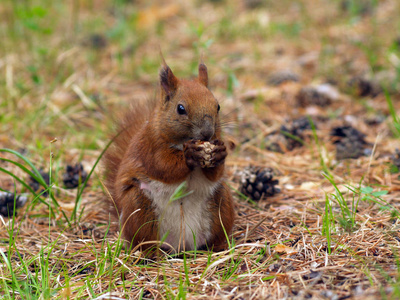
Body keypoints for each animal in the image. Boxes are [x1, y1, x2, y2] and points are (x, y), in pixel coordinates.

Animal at [103, 59, 234, 252]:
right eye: (180, 108)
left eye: (217, 106)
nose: (207, 133)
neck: (182, 142)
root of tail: (182, 244)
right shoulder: (150, 147)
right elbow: (163, 166)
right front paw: (189, 155)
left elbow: (214, 174)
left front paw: (220, 153)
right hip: (138, 207)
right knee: (145, 241)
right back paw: (150, 254)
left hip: (221, 205)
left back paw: (219, 247)